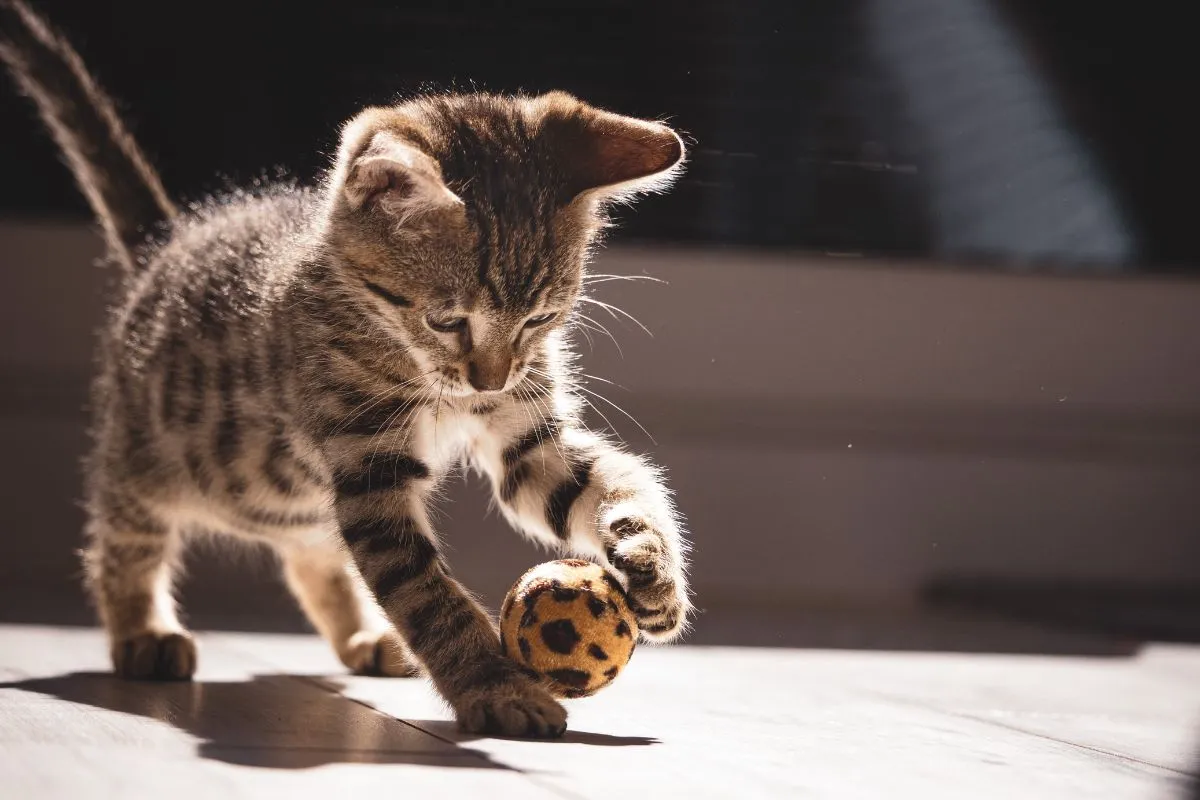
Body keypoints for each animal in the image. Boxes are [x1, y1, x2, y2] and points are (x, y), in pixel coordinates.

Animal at [2, 0, 696, 738]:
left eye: (539, 320)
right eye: (447, 321)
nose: (490, 379)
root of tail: (169, 247)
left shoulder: (527, 439)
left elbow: (606, 482)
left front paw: (652, 566)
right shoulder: (369, 467)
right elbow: (423, 591)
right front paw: (494, 686)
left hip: (298, 501)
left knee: (313, 554)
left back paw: (364, 637)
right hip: (146, 458)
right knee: (122, 537)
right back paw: (141, 630)